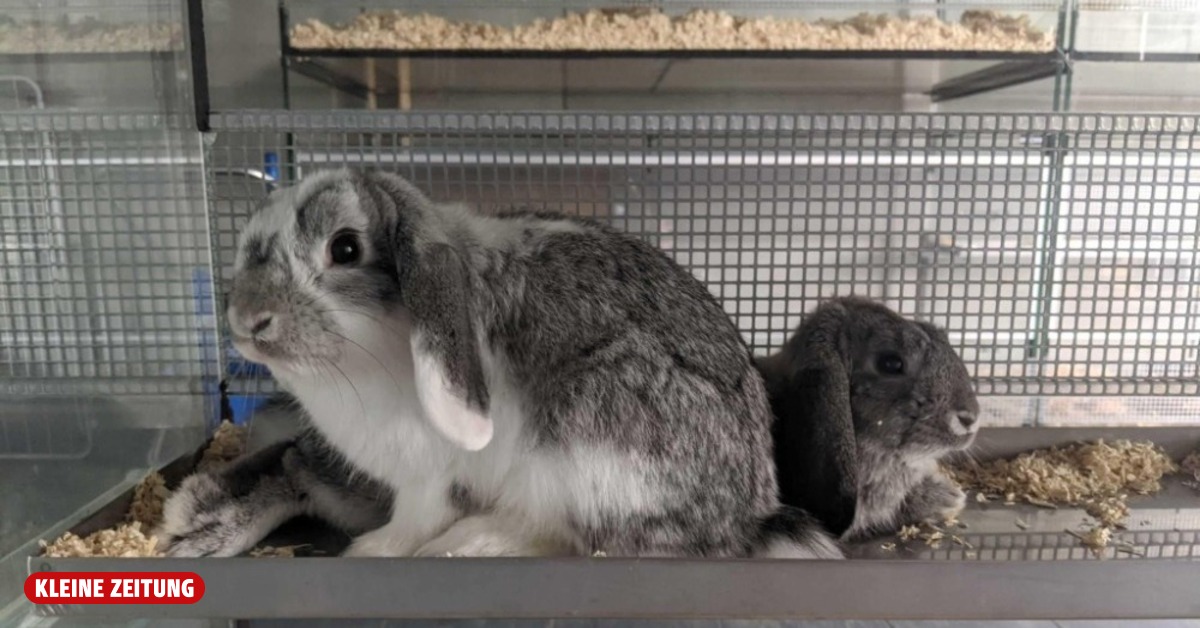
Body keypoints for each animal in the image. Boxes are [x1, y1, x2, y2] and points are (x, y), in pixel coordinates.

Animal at [160, 169, 841, 559]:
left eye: (345, 248)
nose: (248, 320)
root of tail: (750, 515)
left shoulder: (430, 478)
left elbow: (415, 520)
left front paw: (372, 552)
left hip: (586, 441)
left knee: (564, 534)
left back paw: (466, 546)